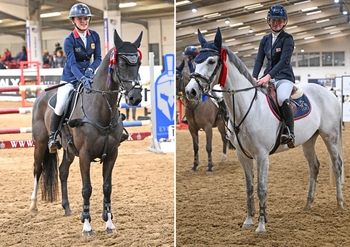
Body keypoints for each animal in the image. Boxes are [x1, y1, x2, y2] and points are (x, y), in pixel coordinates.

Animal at [29, 29, 144, 235]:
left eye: (138, 63)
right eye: (122, 63)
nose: (135, 97)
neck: (101, 110)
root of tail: (41, 95)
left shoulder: (112, 154)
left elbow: (107, 187)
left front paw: (108, 222)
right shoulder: (84, 155)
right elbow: (86, 188)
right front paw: (87, 225)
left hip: (68, 150)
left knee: (62, 171)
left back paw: (66, 207)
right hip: (41, 143)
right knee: (37, 169)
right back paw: (33, 206)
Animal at [185, 27, 344, 233]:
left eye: (211, 61)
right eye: (195, 62)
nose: (190, 91)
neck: (247, 108)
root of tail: (329, 93)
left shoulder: (262, 155)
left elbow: (261, 188)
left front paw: (261, 226)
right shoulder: (243, 156)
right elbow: (249, 187)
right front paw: (248, 221)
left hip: (330, 136)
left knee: (337, 165)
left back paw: (340, 204)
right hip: (309, 140)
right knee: (314, 166)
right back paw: (308, 204)